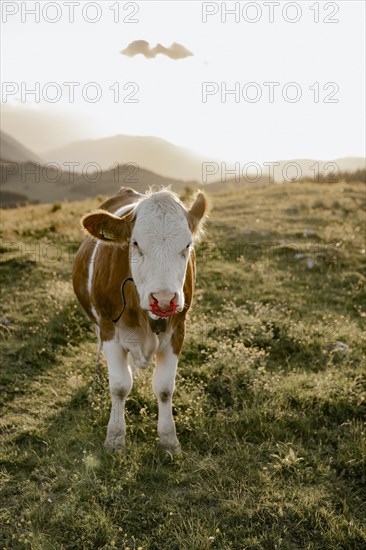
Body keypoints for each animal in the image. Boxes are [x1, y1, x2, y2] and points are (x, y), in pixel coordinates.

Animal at [73, 188, 207, 454]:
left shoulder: (178, 331)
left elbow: (164, 388)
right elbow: (119, 385)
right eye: (135, 244)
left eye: (187, 245)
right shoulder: (109, 329)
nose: (164, 298)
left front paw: (168, 439)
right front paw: (115, 437)